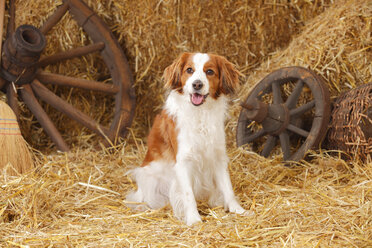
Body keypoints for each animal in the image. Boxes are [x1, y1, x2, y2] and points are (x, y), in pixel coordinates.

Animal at [126, 52, 251, 227]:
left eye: (210, 71)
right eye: (189, 70)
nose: (197, 84)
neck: (199, 113)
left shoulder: (217, 157)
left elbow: (228, 187)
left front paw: (237, 210)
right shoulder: (184, 161)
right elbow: (188, 194)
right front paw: (193, 219)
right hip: (149, 179)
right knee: (143, 199)